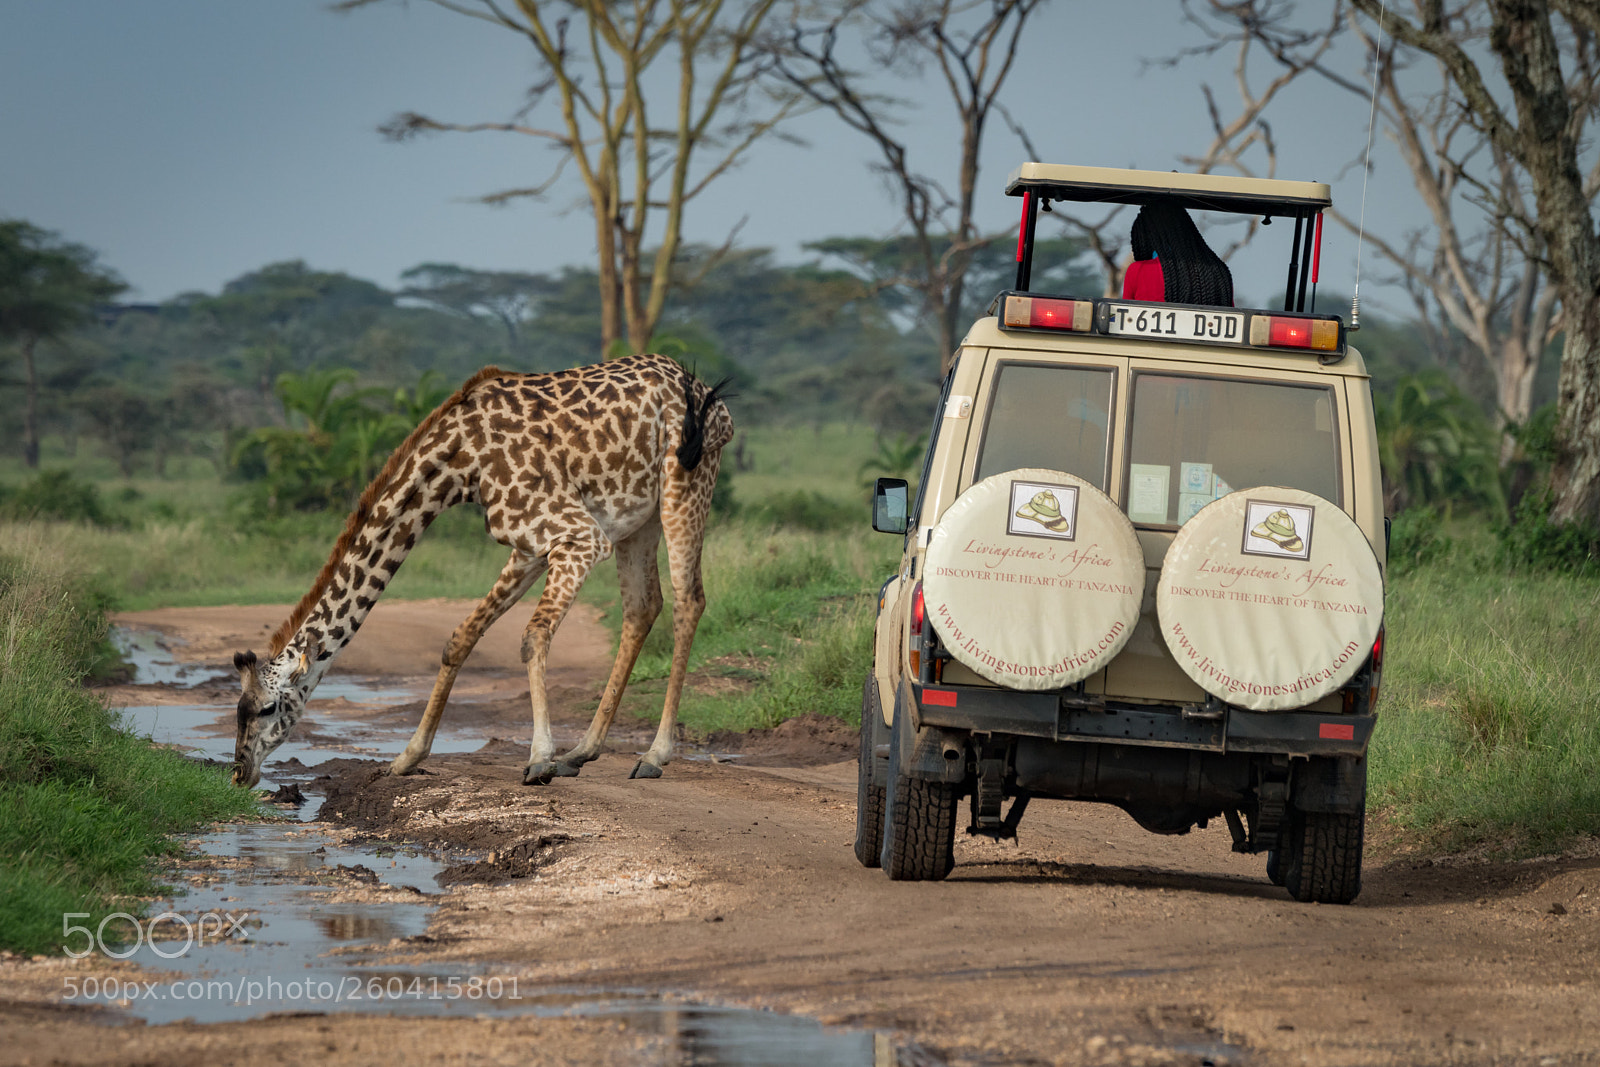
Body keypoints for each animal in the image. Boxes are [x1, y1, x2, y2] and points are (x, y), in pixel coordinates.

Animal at [229, 353, 733, 790]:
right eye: (240, 707)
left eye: (267, 709)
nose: (239, 774)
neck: (459, 463)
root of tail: (706, 393)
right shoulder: (529, 547)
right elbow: (460, 639)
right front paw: (407, 758)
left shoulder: (578, 536)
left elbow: (533, 636)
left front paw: (538, 759)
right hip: (638, 519)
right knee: (643, 607)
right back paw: (581, 752)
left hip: (686, 482)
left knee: (688, 600)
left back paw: (653, 756)